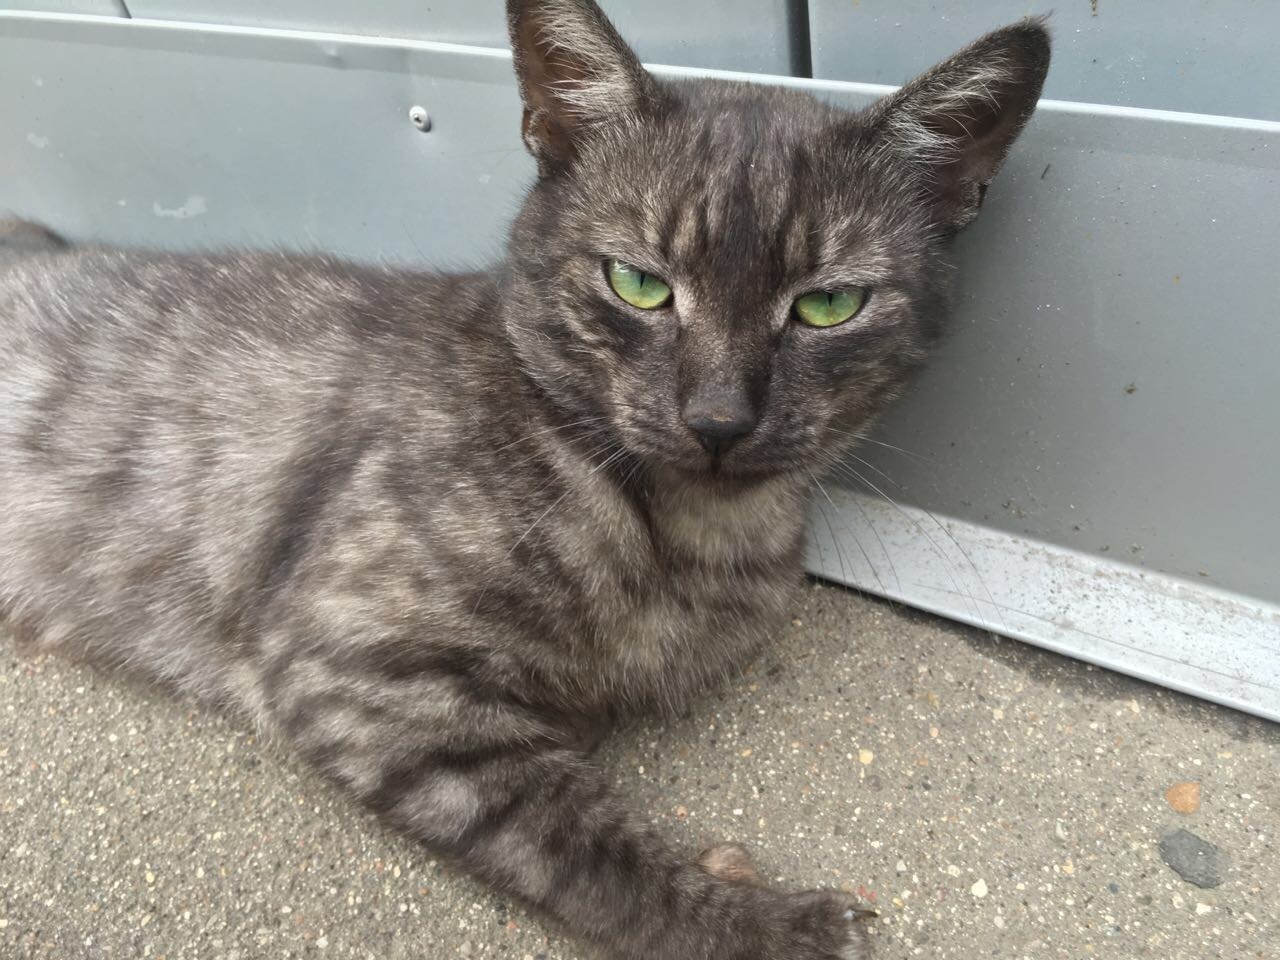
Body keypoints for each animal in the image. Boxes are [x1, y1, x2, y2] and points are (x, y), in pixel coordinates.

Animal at [0, 3, 1049, 957]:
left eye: (829, 305)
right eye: (639, 284)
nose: (719, 420)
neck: (682, 532)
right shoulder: (357, 673)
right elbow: (580, 842)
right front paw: (762, 923)